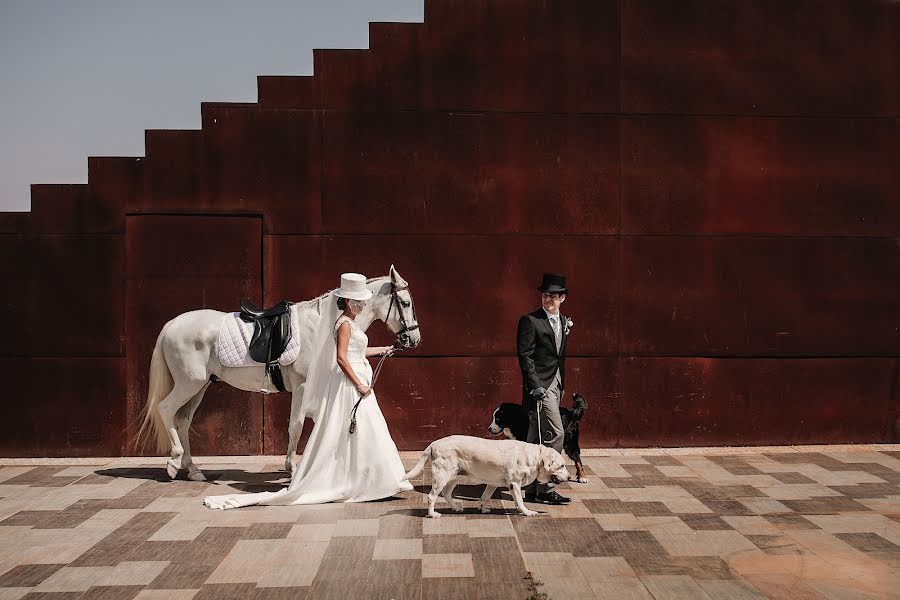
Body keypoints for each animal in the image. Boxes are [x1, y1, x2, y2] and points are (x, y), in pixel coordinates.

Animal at [137, 264, 422, 480]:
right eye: (406, 302)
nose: (413, 339)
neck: (322, 326)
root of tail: (172, 325)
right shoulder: (302, 387)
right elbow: (296, 425)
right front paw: (292, 470)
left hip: (200, 386)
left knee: (183, 420)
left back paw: (193, 469)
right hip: (189, 383)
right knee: (166, 409)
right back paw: (174, 463)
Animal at [400, 434, 568, 516]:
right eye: (562, 465)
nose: (570, 477)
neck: (535, 458)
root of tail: (434, 443)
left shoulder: (492, 484)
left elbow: (485, 497)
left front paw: (482, 509)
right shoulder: (514, 484)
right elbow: (520, 501)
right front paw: (527, 512)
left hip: (454, 476)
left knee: (446, 494)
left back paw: (456, 508)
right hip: (442, 476)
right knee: (431, 497)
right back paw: (432, 514)